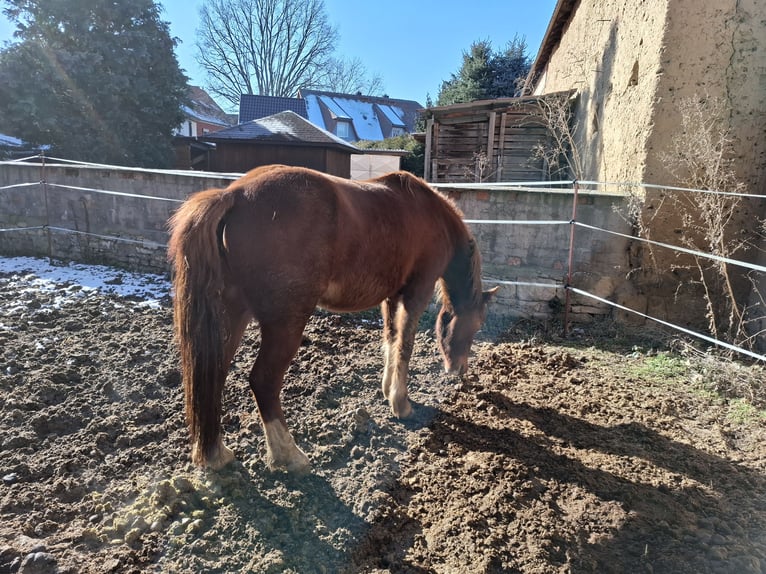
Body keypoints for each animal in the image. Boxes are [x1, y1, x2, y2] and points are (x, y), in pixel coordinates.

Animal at [168, 165, 498, 472]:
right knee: (263, 381)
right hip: (285, 323)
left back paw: (216, 454)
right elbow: (405, 346)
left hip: (232, 316)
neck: (431, 215)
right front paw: (401, 404)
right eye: (477, 324)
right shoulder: (415, 294)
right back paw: (289, 456)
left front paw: (387, 388)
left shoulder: (391, 297)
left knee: (213, 375)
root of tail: (234, 195)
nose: (460, 370)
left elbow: (390, 341)